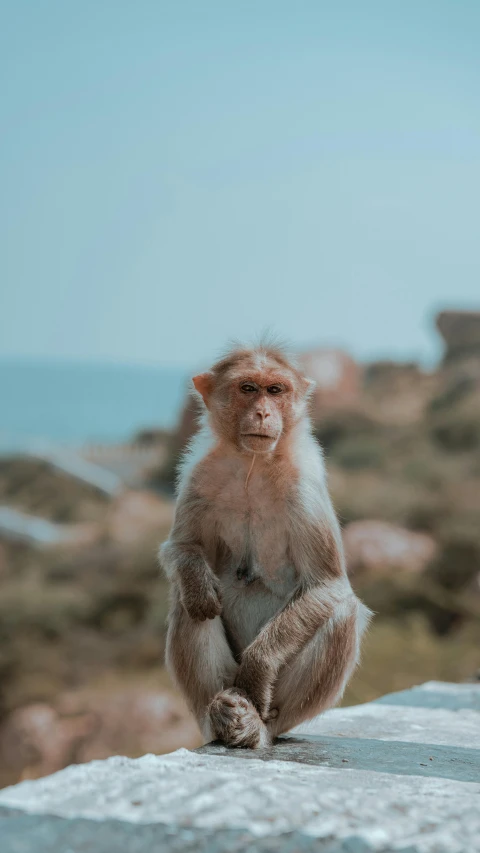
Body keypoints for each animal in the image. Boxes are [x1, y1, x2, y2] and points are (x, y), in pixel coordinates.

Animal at [160, 338, 372, 744]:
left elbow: (327, 585)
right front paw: (198, 582)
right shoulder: (198, 477)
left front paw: (258, 668)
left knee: (342, 613)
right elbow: (181, 549)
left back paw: (255, 724)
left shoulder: (304, 490)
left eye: (275, 390)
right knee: (187, 604)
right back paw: (221, 714)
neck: (253, 465)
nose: (261, 413)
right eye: (248, 388)